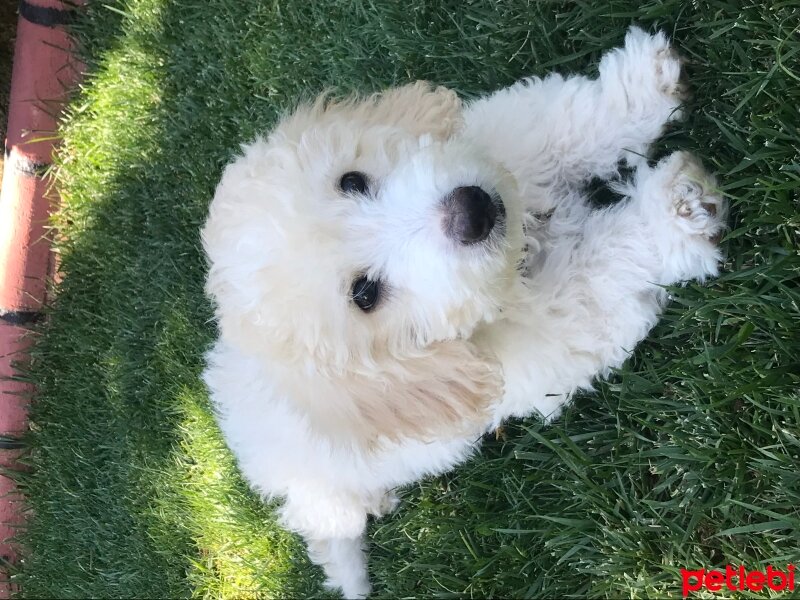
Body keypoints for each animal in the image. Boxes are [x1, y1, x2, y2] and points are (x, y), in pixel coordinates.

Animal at [200, 27, 724, 596]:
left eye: (352, 181)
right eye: (365, 295)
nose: (471, 210)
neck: (521, 249)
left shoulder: (508, 140)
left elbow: (561, 121)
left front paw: (643, 87)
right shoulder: (555, 324)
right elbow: (604, 261)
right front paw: (675, 212)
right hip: (323, 500)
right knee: (331, 528)